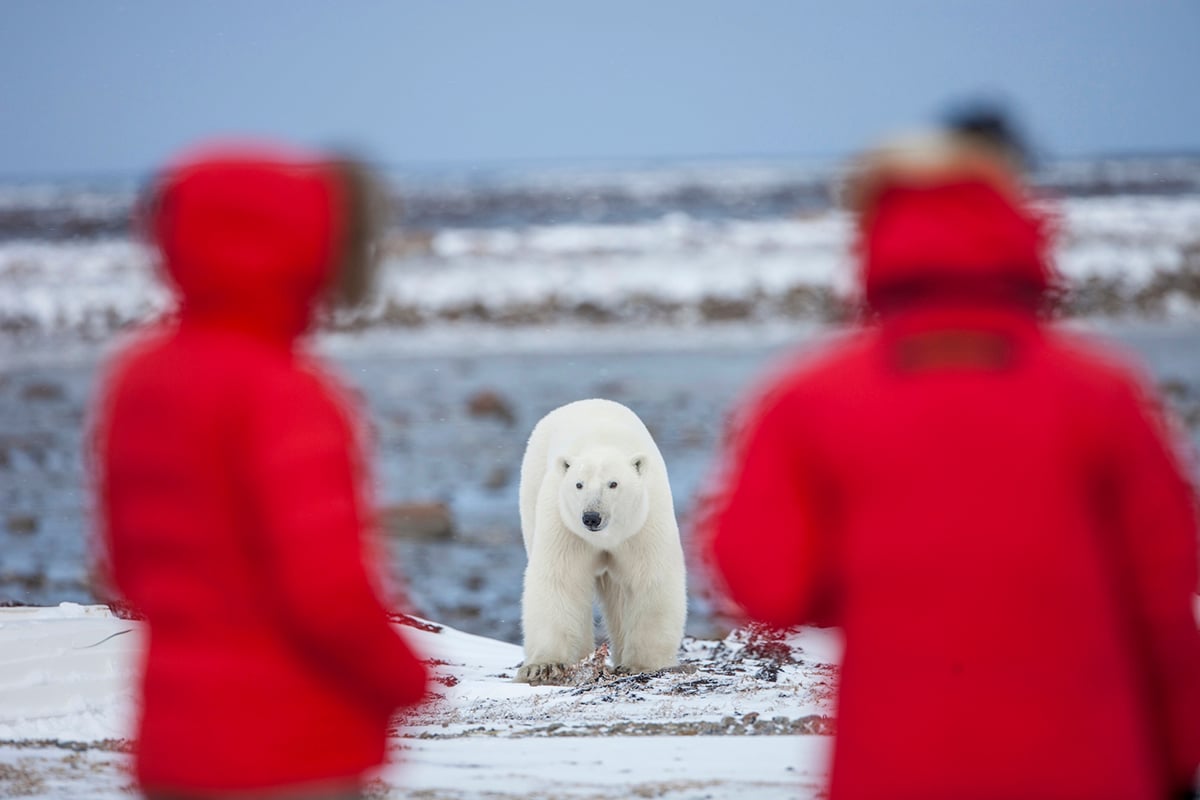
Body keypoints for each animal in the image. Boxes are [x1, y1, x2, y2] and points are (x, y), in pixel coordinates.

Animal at [513, 398, 686, 686]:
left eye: (613, 484)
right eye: (579, 484)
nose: (591, 517)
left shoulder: (643, 523)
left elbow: (650, 578)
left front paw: (641, 664)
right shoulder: (564, 525)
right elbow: (560, 579)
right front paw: (544, 667)